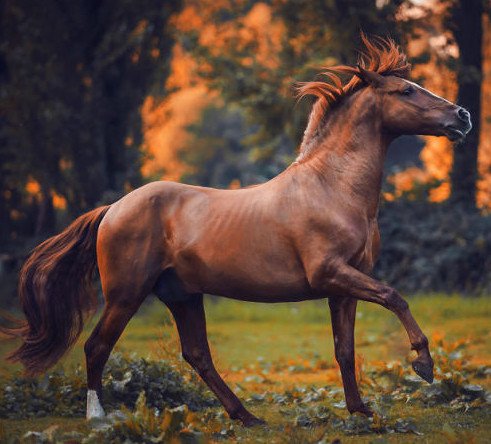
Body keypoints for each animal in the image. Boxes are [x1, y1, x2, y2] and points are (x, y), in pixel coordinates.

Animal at [3, 35, 472, 426]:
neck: (331, 189)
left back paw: (246, 416)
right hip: (126, 294)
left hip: (182, 294)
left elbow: (345, 349)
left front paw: (361, 411)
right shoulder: (331, 274)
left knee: (197, 355)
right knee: (97, 346)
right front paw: (423, 366)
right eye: (406, 91)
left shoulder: (343, 287)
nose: (463, 115)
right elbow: (395, 297)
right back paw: (99, 417)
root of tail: (112, 209)